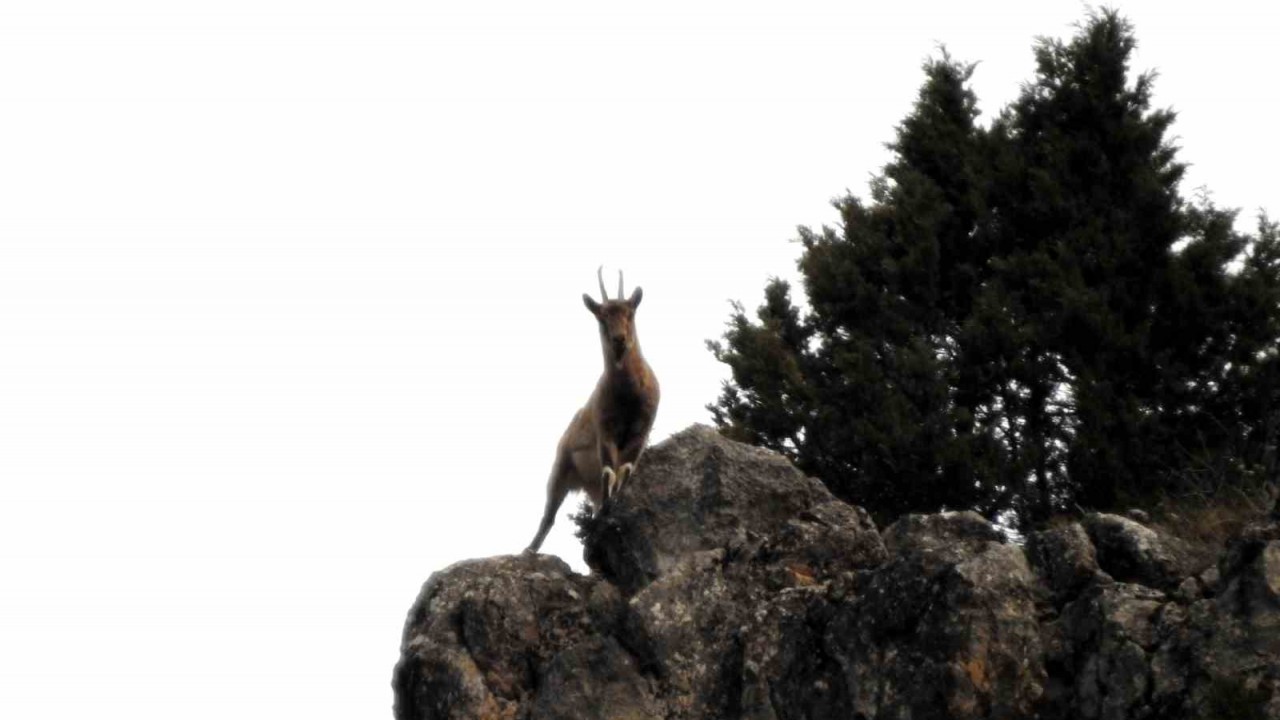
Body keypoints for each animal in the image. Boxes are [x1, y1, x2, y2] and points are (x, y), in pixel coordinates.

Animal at [524, 266, 660, 550]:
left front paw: (614, 512)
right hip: (561, 468)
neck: (628, 396)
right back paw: (530, 549)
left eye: (630, 313)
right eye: (601, 317)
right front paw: (609, 516)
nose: (619, 339)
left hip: (589, 483)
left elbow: (623, 472)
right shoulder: (605, 431)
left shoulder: (640, 433)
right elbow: (609, 471)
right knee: (549, 516)